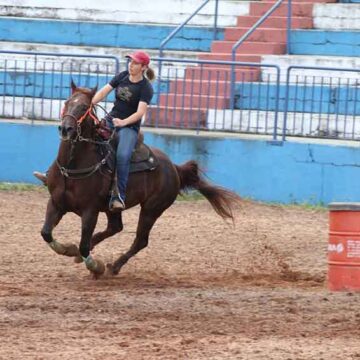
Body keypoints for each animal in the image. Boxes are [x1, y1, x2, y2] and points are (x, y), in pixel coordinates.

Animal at [40, 82, 240, 278]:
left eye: (84, 107)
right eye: (66, 102)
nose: (65, 129)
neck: (72, 168)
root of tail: (174, 167)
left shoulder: (90, 211)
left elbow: (83, 244)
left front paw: (96, 267)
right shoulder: (56, 203)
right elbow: (46, 233)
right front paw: (68, 249)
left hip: (152, 209)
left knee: (140, 240)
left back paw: (113, 267)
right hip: (114, 207)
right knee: (115, 228)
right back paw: (82, 255)